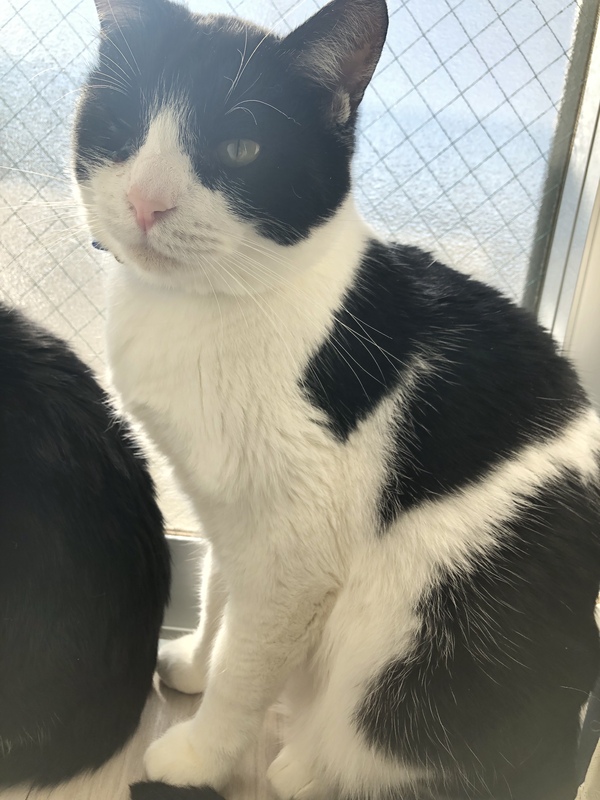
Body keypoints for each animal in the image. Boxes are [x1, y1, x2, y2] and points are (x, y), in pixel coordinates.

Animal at [74, 0, 600, 798]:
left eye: (242, 149)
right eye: (125, 125)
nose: (145, 201)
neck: (201, 306)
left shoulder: (296, 550)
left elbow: (247, 667)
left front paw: (199, 753)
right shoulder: (229, 506)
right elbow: (219, 591)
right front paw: (194, 664)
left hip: (417, 628)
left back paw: (305, 765)